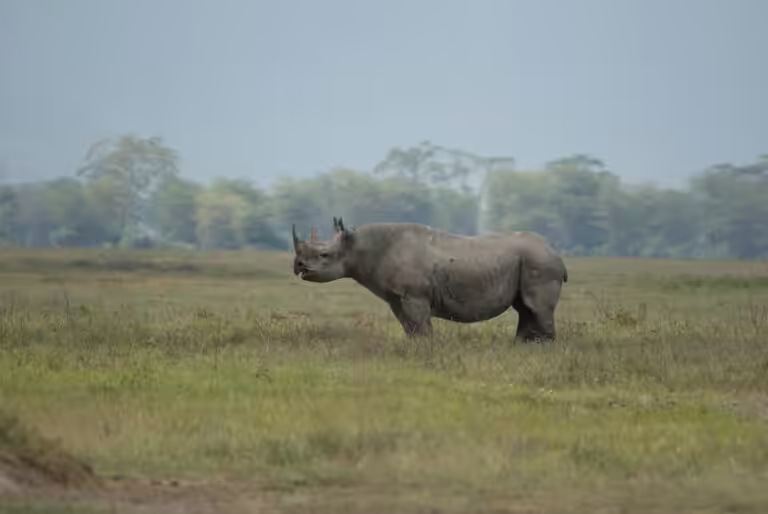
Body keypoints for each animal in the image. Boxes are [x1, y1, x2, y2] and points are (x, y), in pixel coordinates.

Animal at [291, 217, 568, 342]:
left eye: (324, 255)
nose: (298, 265)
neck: (360, 247)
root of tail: (556, 251)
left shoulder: (414, 295)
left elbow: (422, 327)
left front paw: (427, 351)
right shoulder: (397, 297)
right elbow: (410, 327)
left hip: (541, 263)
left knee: (537, 308)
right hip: (532, 261)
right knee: (525, 309)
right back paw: (522, 347)